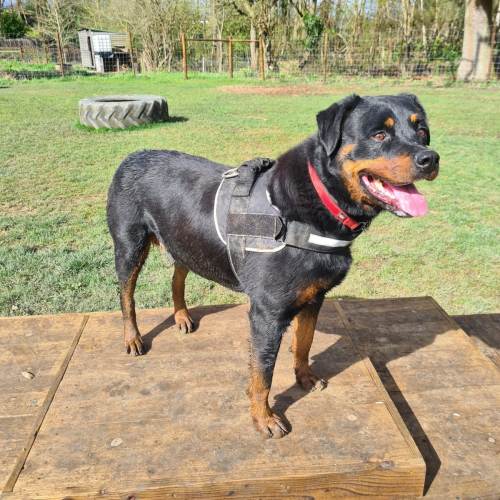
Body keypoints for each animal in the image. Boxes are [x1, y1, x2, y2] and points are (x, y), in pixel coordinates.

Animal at [107, 93, 439, 439]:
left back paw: (182, 315)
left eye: (422, 131)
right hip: (129, 245)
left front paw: (304, 377)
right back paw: (133, 337)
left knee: (179, 273)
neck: (318, 203)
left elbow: (304, 343)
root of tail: (133, 155)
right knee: (126, 296)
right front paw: (263, 417)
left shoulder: (314, 297)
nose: (430, 158)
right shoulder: (267, 313)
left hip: (184, 239)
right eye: (379, 135)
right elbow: (262, 372)